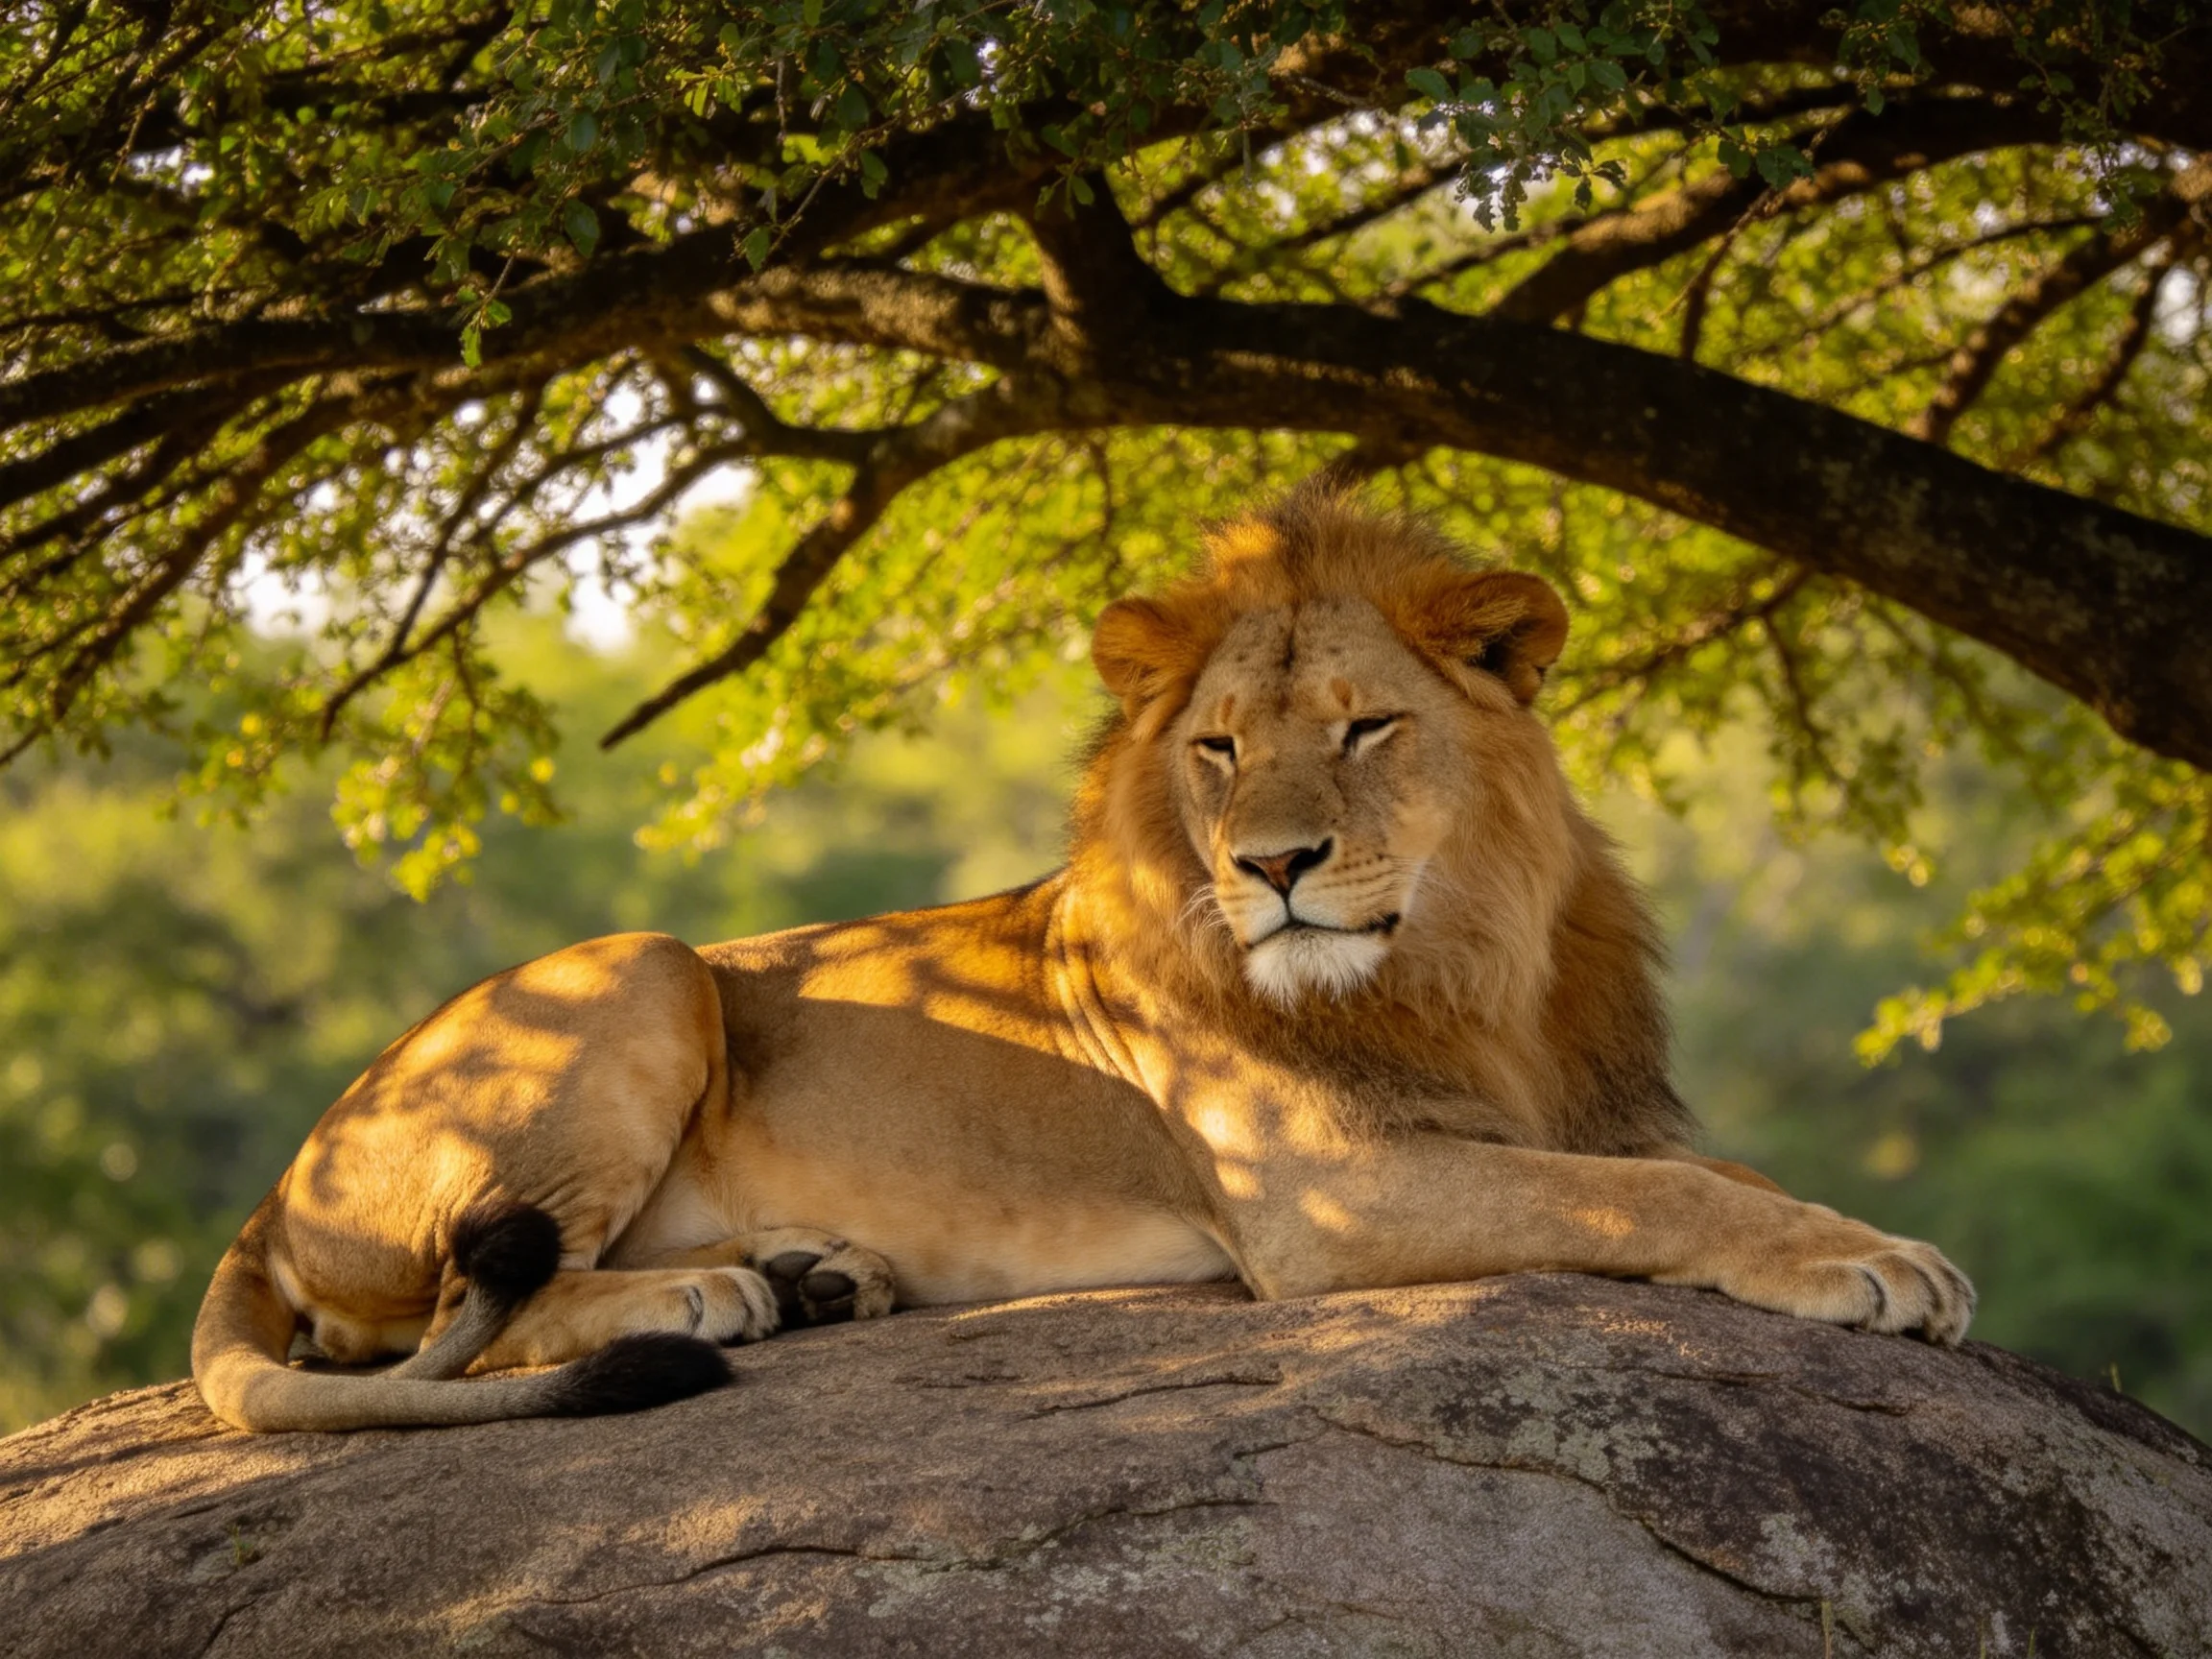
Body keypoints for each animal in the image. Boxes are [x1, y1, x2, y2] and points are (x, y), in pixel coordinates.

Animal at [193, 485, 1973, 1432]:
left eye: (1366, 728)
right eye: (1216, 748)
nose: (1272, 867)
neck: (1465, 966)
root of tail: (275, 1180)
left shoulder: (1568, 1109)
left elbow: (1711, 1171)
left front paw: (1861, 1232)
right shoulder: (1326, 1200)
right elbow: (1652, 1199)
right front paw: (1877, 1263)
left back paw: (816, 1272)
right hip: (641, 963)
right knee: (453, 1317)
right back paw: (714, 1290)